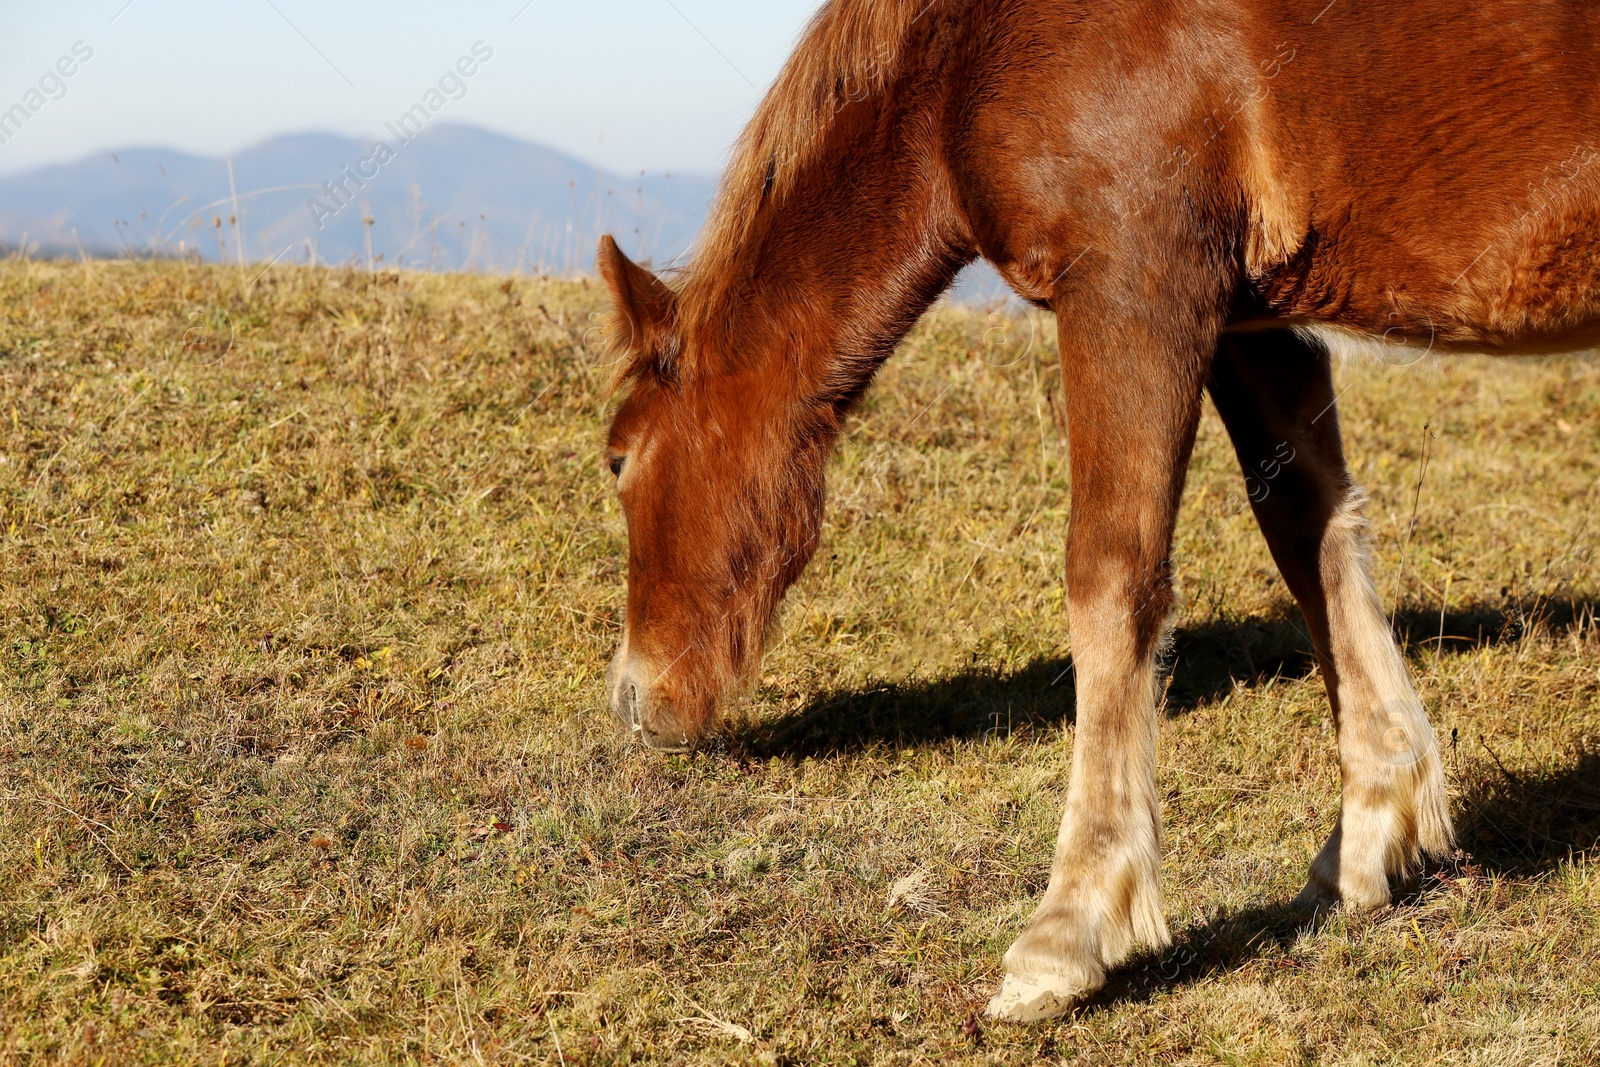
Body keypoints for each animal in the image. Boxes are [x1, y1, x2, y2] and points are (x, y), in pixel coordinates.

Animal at [592, 0, 1600, 1023]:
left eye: (618, 458)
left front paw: (1068, 931)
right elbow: (1308, 527)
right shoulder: (1249, 319)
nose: (634, 700)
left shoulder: (1134, 292)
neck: (966, 58)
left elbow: (1112, 577)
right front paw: (1372, 833)